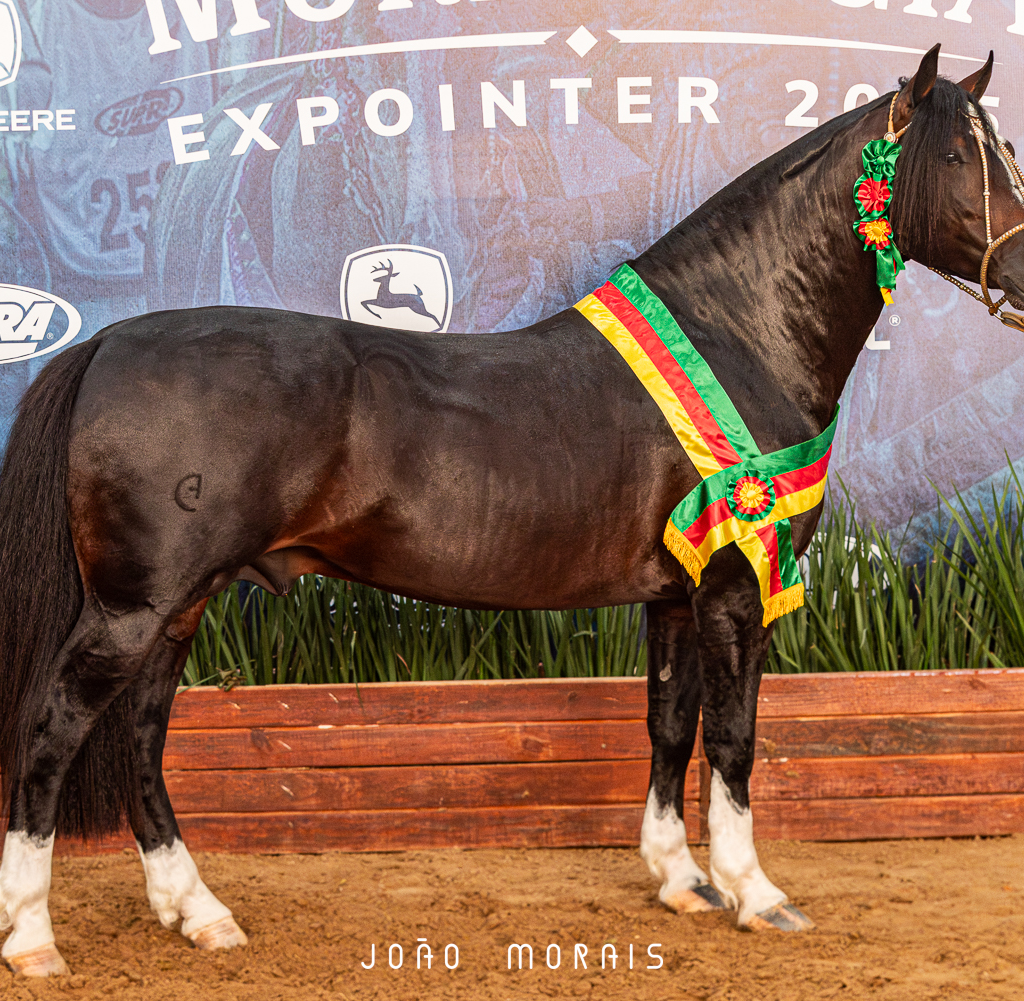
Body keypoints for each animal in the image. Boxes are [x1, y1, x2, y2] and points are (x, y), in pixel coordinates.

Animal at [2, 45, 1022, 977]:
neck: (740, 332)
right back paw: (35, 939)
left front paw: (680, 882)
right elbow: (734, 736)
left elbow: (670, 723)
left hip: (180, 603)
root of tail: (106, 344)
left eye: (1004, 149)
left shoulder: (672, 593)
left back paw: (198, 912)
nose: (1023, 266)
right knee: (52, 729)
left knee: (141, 736)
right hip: (134, 606)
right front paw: (757, 893)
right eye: (957, 158)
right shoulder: (737, 588)